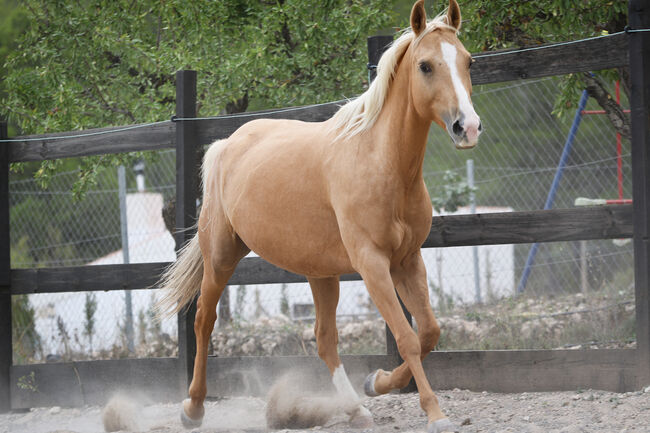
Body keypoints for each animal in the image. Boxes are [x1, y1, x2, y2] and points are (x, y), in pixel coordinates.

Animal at [158, 1, 478, 430]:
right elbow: (408, 339)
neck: (381, 163)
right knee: (203, 321)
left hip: (320, 273)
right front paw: (435, 412)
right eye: (425, 65)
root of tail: (227, 144)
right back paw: (193, 408)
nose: (468, 127)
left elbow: (429, 332)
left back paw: (356, 409)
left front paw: (376, 382)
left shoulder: (407, 260)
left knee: (325, 339)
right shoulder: (373, 264)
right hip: (222, 256)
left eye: (468, 61)